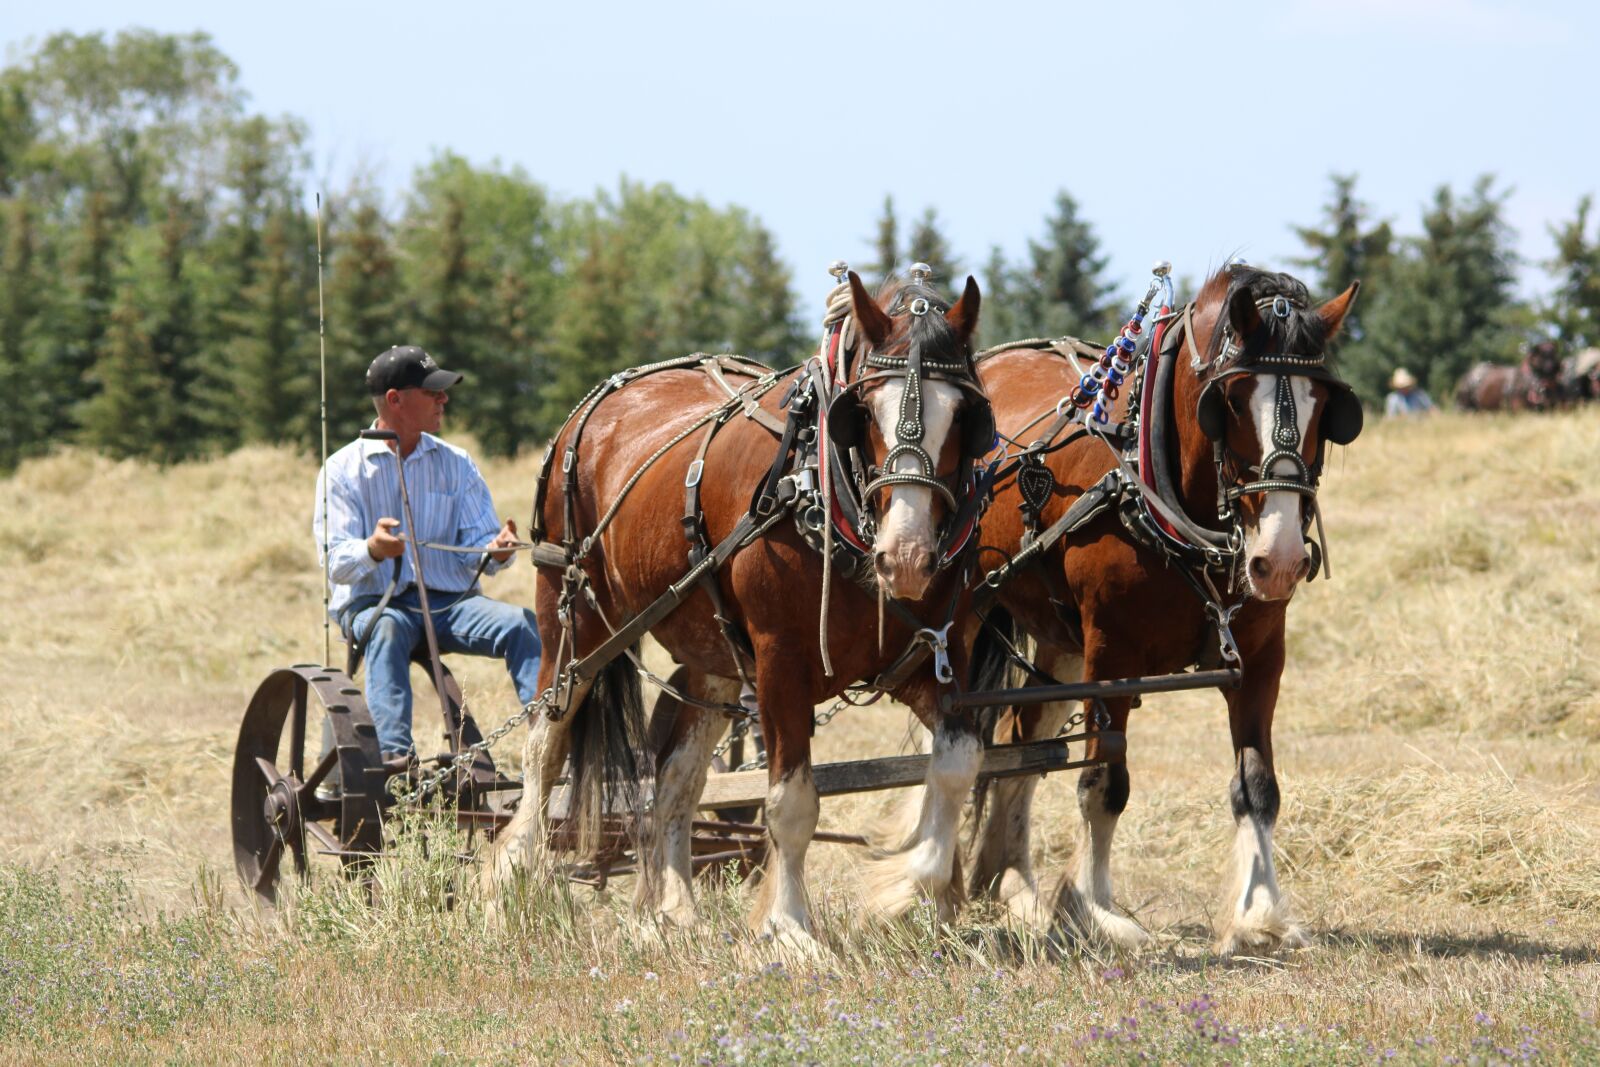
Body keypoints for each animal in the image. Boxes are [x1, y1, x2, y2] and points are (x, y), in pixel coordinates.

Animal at [486, 272, 996, 948]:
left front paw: (914, 895)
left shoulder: (931, 659)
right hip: (571, 617)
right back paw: (511, 875)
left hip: (714, 655)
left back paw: (671, 907)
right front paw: (790, 926)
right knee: (547, 738)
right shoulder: (781, 666)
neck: (823, 489)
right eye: (862, 412)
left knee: (678, 772)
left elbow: (958, 765)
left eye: (965, 415)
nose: (907, 556)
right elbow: (792, 802)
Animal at [953, 264, 1362, 954]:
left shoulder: (1260, 658)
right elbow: (1103, 782)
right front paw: (1095, 908)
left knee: (1021, 740)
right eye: (1230, 402)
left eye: (1326, 408)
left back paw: (1008, 883)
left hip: (1060, 644)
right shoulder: (1110, 657)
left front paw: (1260, 913)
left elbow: (1258, 786)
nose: (1278, 559)